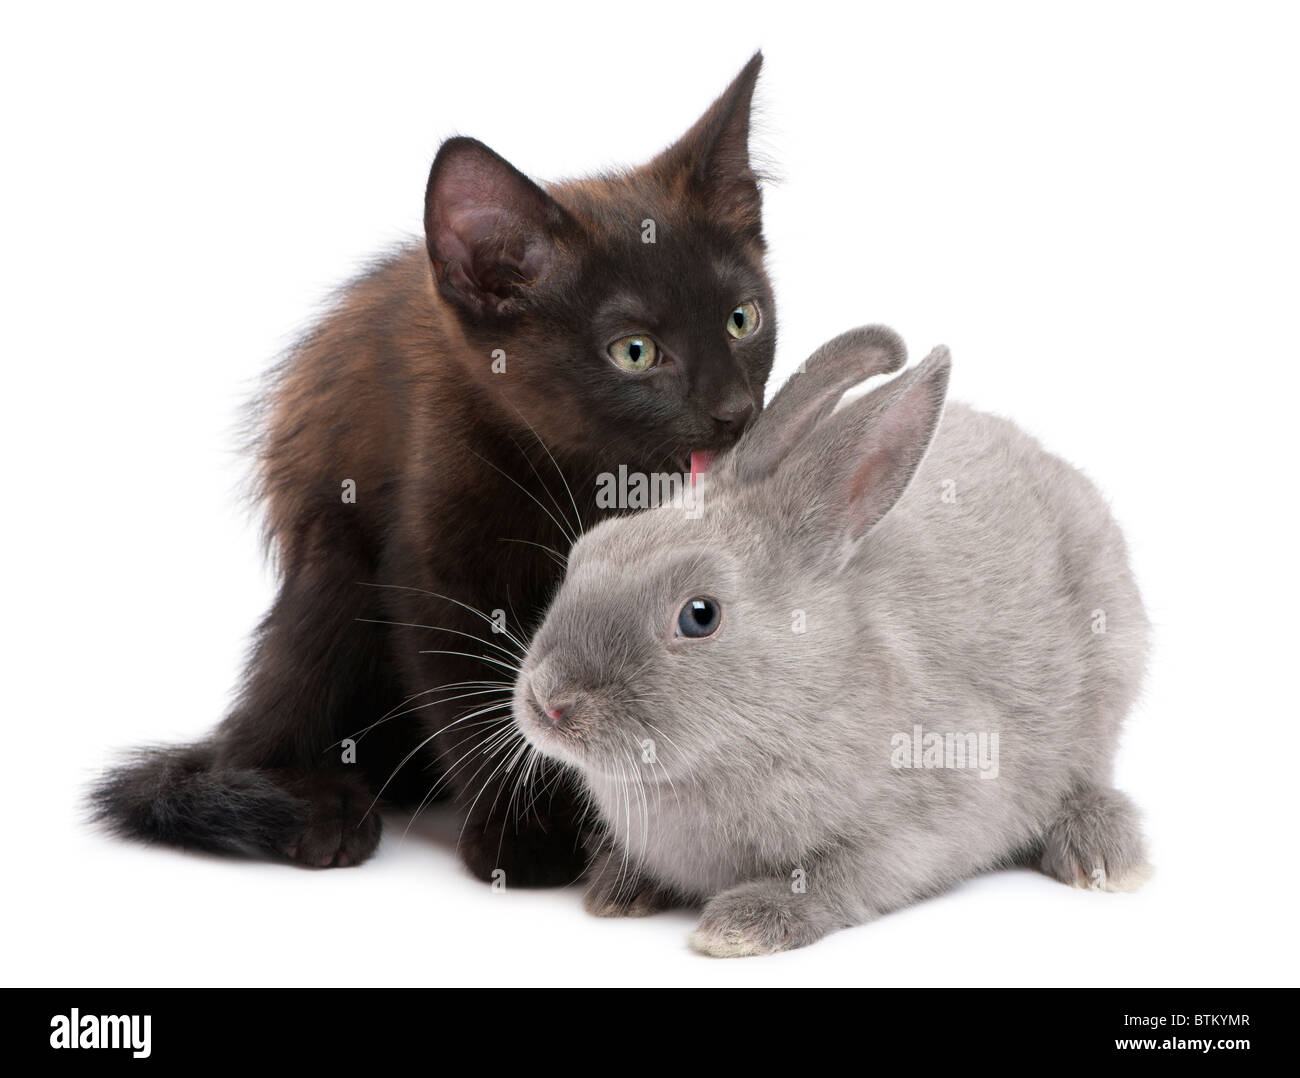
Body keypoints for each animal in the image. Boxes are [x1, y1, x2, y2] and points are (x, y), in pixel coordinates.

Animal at [506, 323, 1149, 957]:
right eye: (587, 552)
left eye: (699, 616)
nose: (550, 702)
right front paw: (617, 890)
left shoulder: (929, 818)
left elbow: (842, 878)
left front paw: (740, 927)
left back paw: (1105, 857)